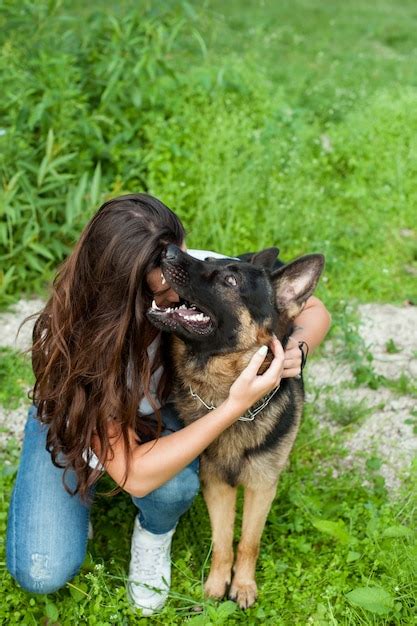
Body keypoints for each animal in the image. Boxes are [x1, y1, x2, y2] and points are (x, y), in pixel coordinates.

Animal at [147, 243, 324, 604]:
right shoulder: (216, 485)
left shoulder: (261, 487)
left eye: (230, 281)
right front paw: (218, 583)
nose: (168, 251)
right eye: (207, 260)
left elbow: (248, 543)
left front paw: (242, 585)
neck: (227, 399)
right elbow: (223, 541)